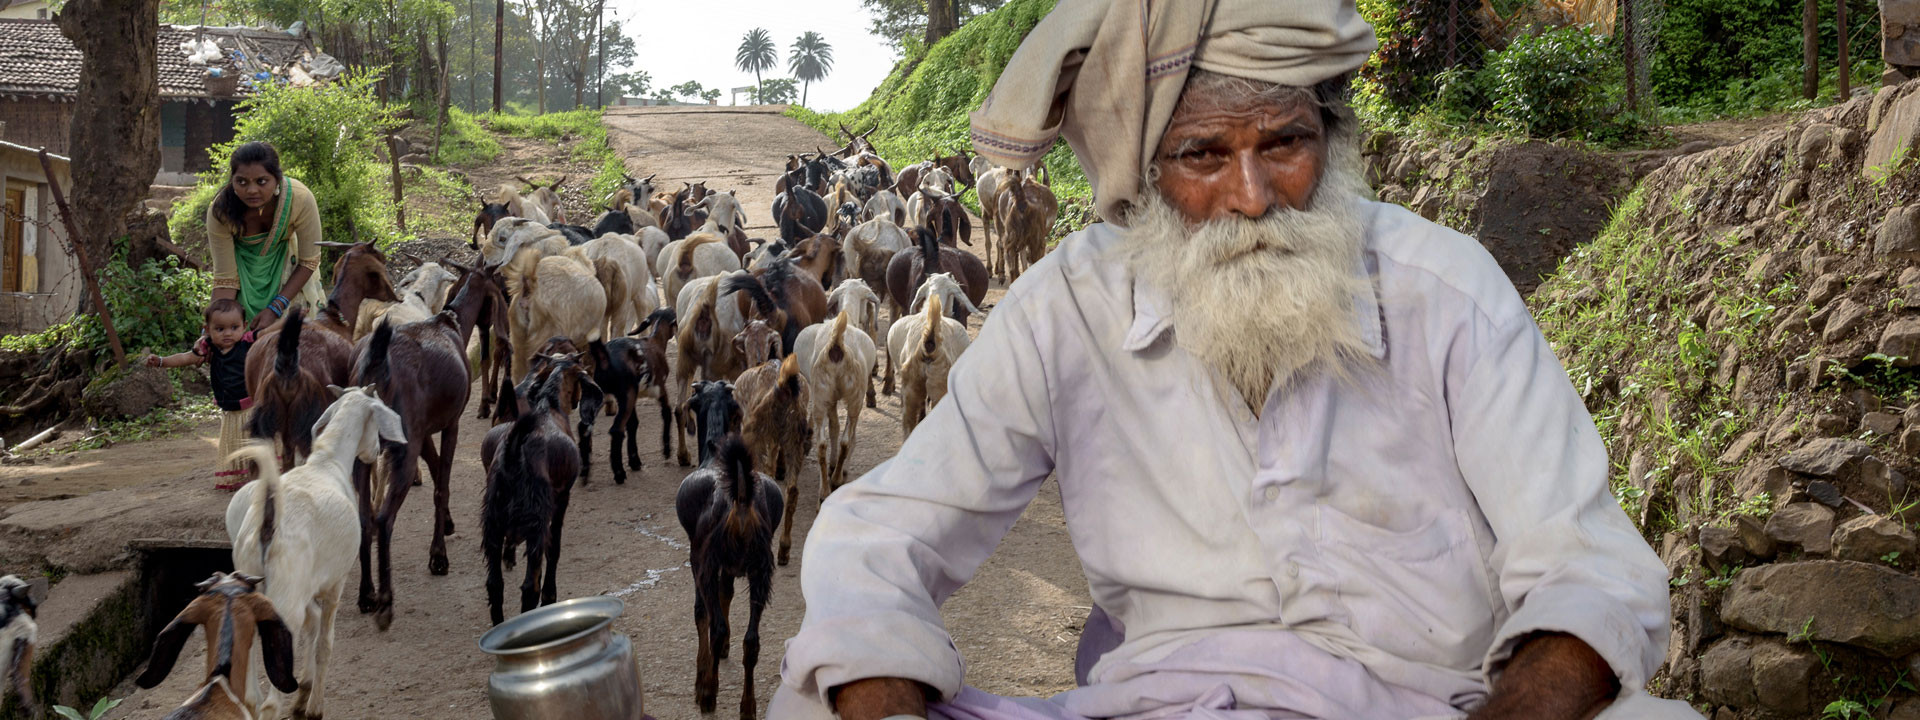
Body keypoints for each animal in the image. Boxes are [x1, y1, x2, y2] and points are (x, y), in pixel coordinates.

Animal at [224, 389, 405, 720]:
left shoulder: (309, 587)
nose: (375, 452)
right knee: (269, 701)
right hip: (285, 601)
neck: (327, 461)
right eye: (376, 423)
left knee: (252, 694)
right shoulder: (335, 583)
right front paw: (314, 707)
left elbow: (314, 623)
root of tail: (269, 522)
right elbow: (325, 643)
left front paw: (305, 691)